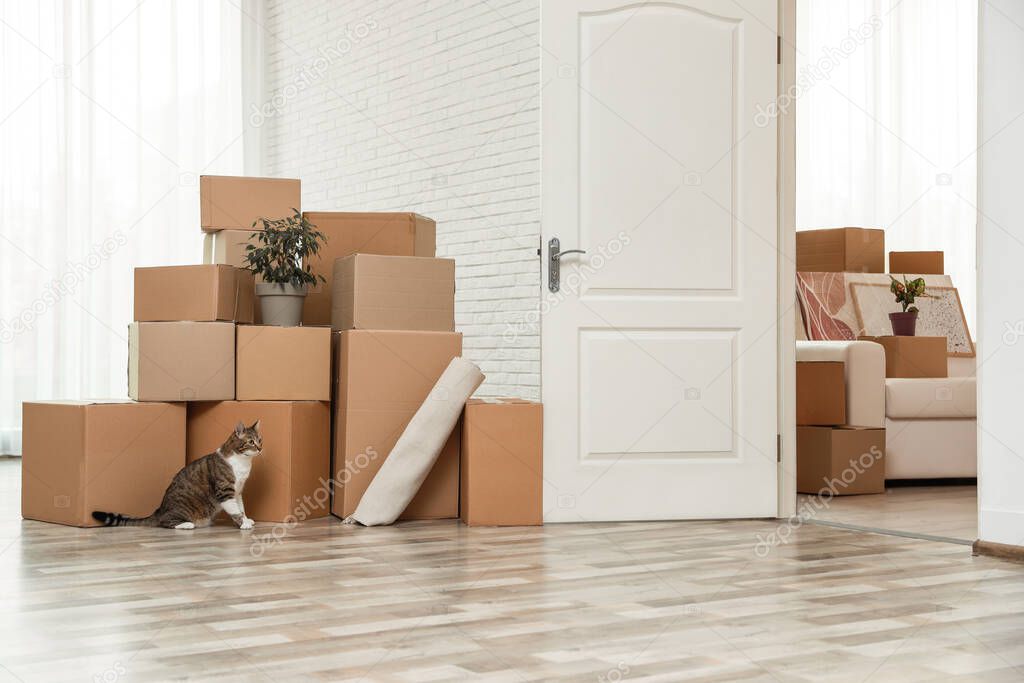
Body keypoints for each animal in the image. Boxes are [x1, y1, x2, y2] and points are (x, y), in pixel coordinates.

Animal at [92, 419, 262, 532]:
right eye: (251, 442)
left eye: (260, 440)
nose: (260, 448)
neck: (243, 462)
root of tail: (159, 510)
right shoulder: (225, 491)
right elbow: (236, 510)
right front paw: (243, 523)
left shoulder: (238, 491)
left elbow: (241, 507)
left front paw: (246, 519)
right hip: (182, 510)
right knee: (165, 522)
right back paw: (186, 524)